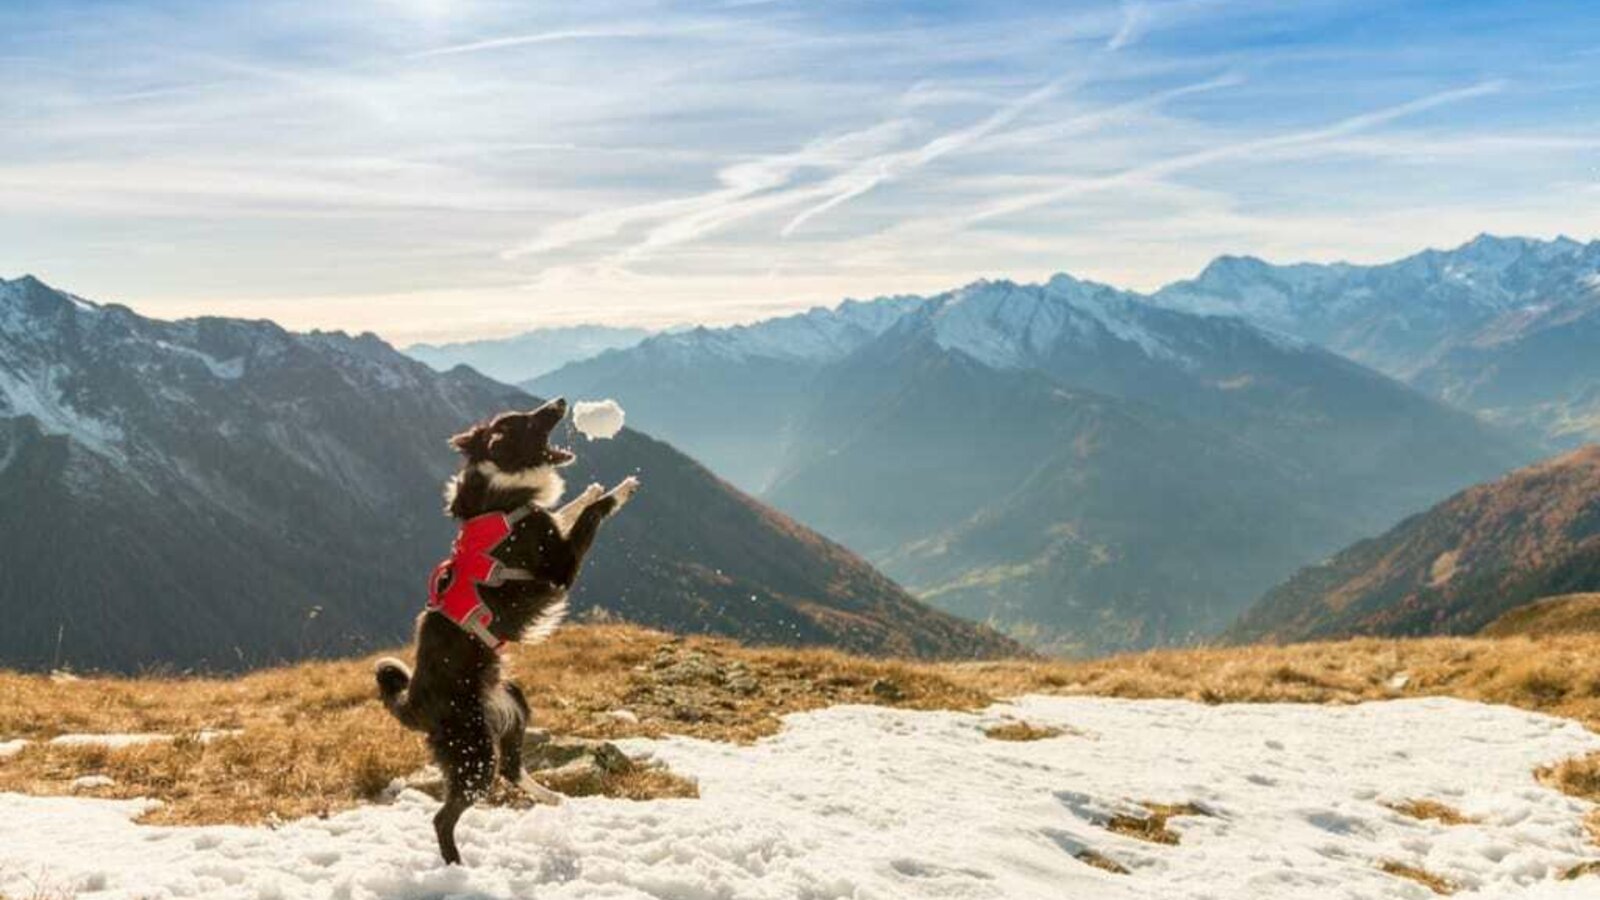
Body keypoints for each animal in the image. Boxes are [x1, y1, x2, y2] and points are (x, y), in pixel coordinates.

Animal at [374, 397, 636, 864]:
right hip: (474, 753)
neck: (501, 496)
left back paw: (551, 797)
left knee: (513, 769)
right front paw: (619, 490)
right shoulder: (561, 566)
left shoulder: (550, 527)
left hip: (512, 702)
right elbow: (591, 514)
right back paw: (457, 867)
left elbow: (567, 509)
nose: (560, 402)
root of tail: (414, 703)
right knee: (444, 816)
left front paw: (587, 490)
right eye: (528, 421)